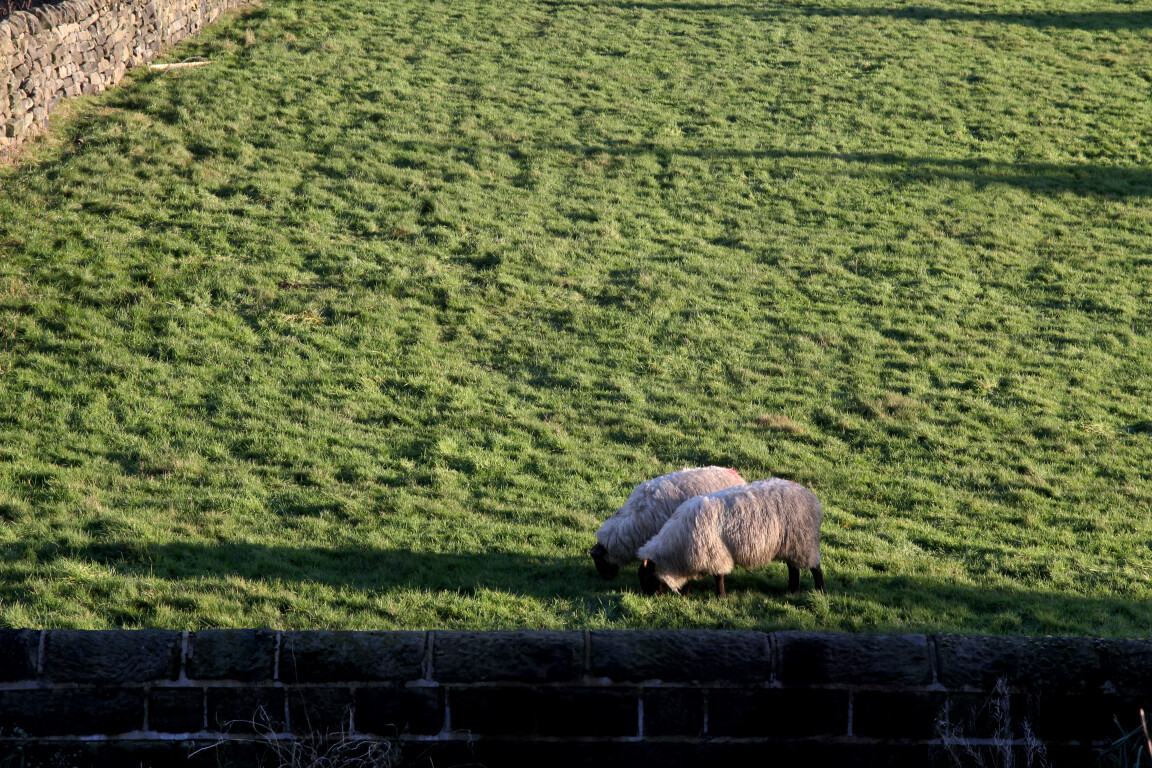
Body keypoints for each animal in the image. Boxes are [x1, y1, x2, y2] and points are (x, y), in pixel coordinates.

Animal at [636, 478, 826, 598]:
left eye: (646, 576)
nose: (646, 596)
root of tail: (812, 498)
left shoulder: (713, 553)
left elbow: (718, 576)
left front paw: (721, 596)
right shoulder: (696, 557)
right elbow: (691, 578)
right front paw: (686, 594)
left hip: (803, 541)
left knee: (815, 568)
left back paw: (819, 590)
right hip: (792, 544)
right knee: (794, 568)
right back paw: (792, 591)